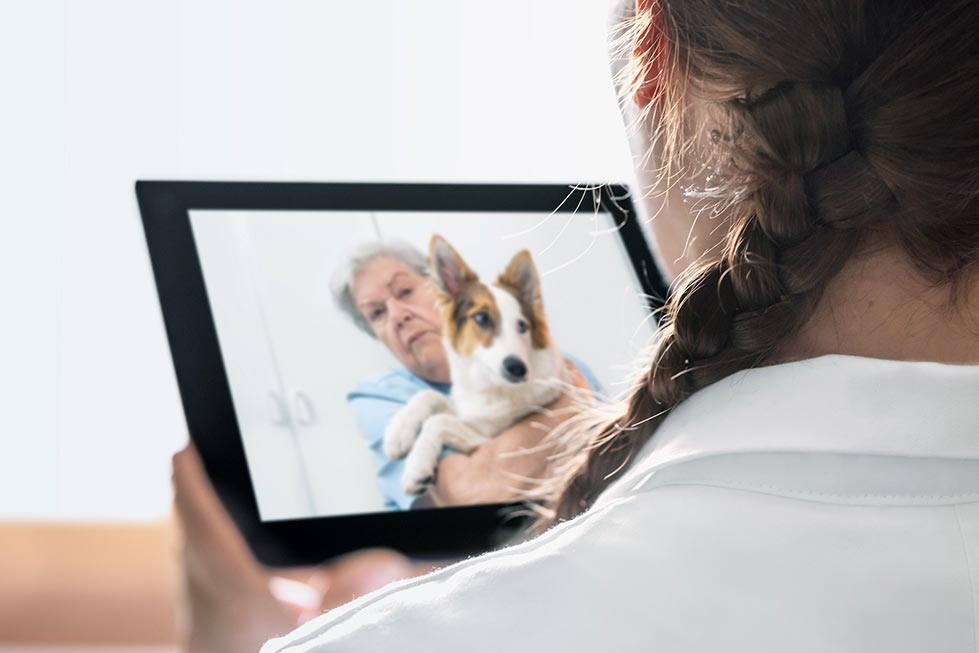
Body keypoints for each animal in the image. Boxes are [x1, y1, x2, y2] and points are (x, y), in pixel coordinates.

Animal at [382, 234, 568, 494]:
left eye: (522, 326)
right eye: (481, 317)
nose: (518, 369)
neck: (489, 385)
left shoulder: (489, 439)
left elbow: (438, 421)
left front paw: (416, 467)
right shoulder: (469, 416)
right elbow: (429, 395)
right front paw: (397, 434)